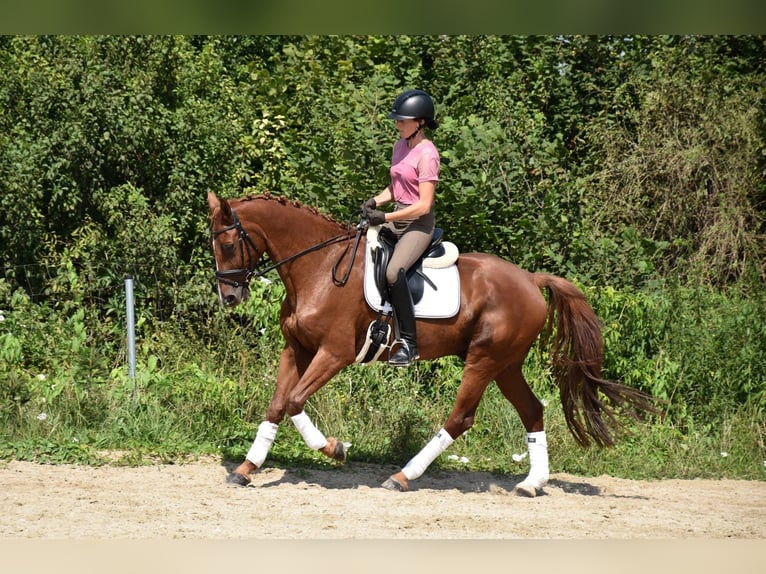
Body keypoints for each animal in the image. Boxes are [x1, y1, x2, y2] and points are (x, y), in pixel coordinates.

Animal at [207, 191, 656, 498]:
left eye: (228, 244)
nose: (229, 297)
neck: (317, 268)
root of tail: (530, 279)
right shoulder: (296, 350)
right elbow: (277, 406)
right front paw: (246, 468)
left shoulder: (333, 354)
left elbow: (295, 401)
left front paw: (335, 448)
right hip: (506, 365)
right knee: (532, 410)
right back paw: (532, 483)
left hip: (484, 359)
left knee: (461, 418)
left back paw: (403, 476)